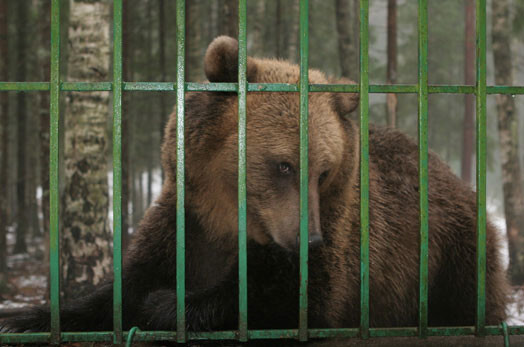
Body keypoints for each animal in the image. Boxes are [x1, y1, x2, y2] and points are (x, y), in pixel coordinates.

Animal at [0, 36, 508, 336]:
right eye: (283, 165)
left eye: (324, 170)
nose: (309, 238)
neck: (228, 218)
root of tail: (449, 173)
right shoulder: (183, 222)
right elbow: (126, 284)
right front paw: (26, 316)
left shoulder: (337, 236)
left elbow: (286, 300)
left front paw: (166, 303)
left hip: (449, 253)